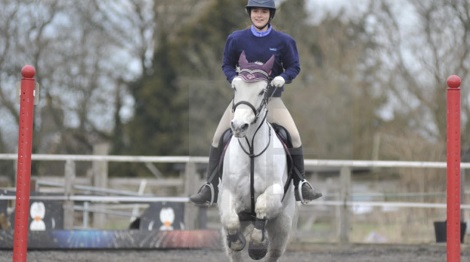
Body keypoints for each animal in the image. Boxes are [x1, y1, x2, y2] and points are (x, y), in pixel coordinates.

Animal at [218, 51, 296, 262]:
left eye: (262, 91)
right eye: (235, 87)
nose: (238, 126)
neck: (252, 148)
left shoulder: (275, 190)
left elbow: (261, 207)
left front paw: (257, 245)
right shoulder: (228, 193)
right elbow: (230, 221)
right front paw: (237, 241)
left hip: (283, 223)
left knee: (273, 252)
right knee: (234, 252)